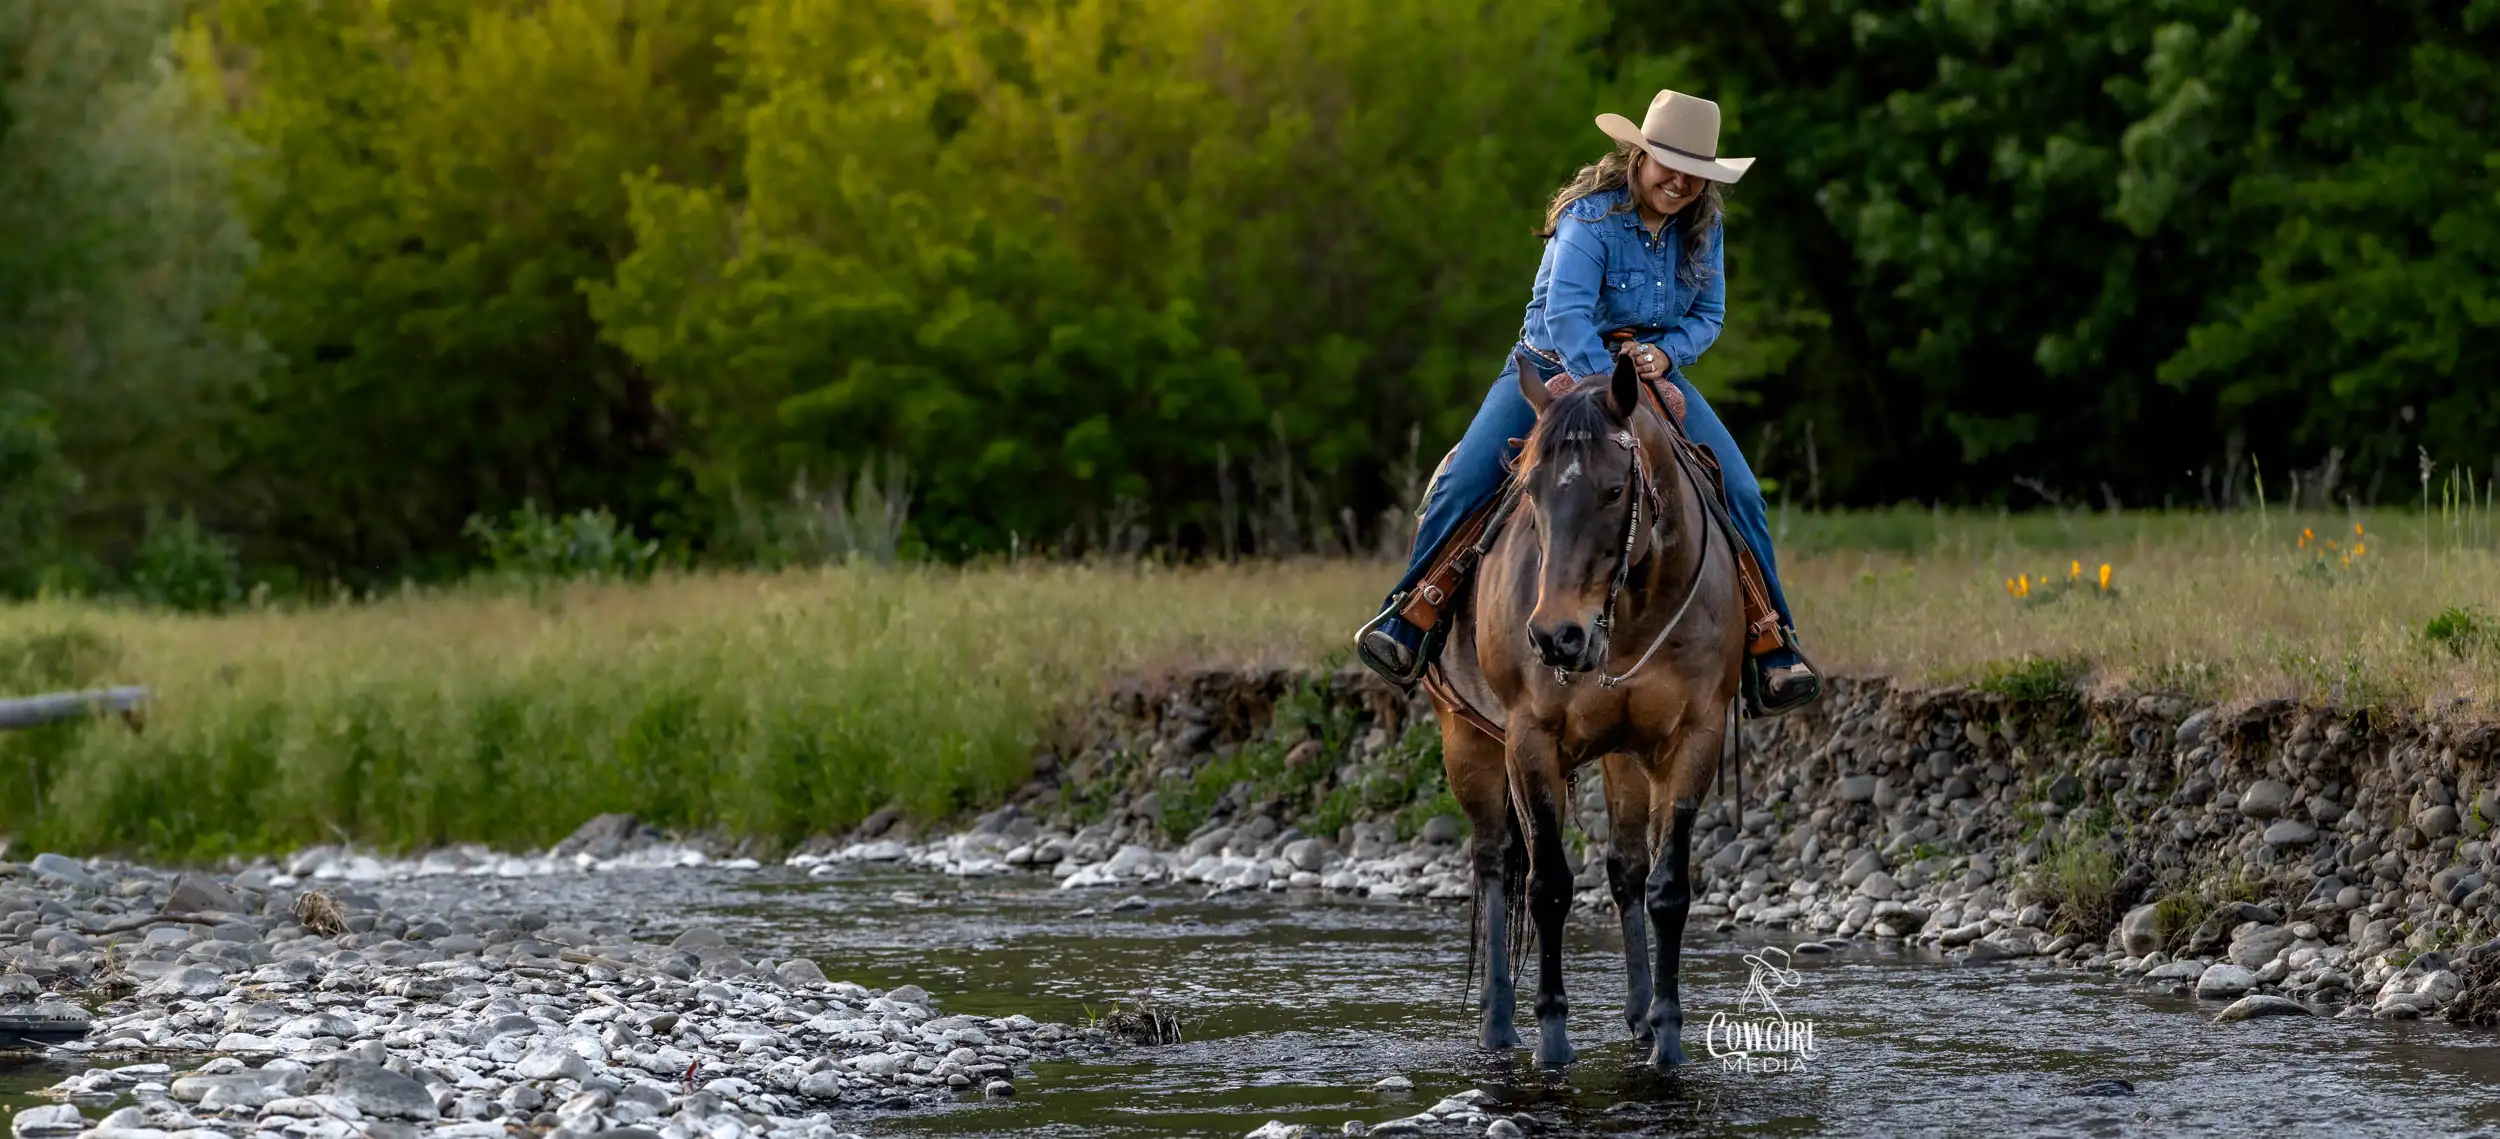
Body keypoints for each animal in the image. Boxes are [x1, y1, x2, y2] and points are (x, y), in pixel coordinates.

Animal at [1427, 348, 1744, 1069]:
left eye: (1614, 490)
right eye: (1531, 492)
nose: (1555, 636)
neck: (1629, 614)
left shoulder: (1694, 737)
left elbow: (1667, 888)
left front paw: (1667, 1034)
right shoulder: (1532, 738)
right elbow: (1548, 885)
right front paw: (1552, 1038)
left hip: (1622, 754)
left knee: (1625, 868)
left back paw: (1638, 1017)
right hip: (1467, 737)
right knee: (1496, 861)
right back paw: (1498, 1024)